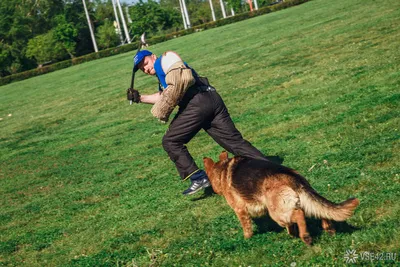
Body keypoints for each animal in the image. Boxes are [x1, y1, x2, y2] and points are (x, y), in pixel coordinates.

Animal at [203, 152, 360, 246]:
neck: (222, 170)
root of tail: (291, 176)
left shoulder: (240, 210)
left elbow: (246, 227)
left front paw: (247, 239)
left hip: (277, 213)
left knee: (299, 215)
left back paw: (305, 237)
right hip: (296, 203)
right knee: (319, 212)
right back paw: (327, 229)